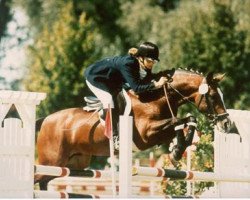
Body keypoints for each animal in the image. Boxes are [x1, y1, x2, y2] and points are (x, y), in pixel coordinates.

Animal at [34, 68, 231, 189]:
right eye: (214, 96)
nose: (226, 124)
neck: (155, 98)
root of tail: (46, 120)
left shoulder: (160, 133)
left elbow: (186, 121)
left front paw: (177, 149)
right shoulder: (146, 135)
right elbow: (180, 120)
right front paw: (177, 151)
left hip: (71, 163)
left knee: (43, 181)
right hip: (52, 161)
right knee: (36, 177)